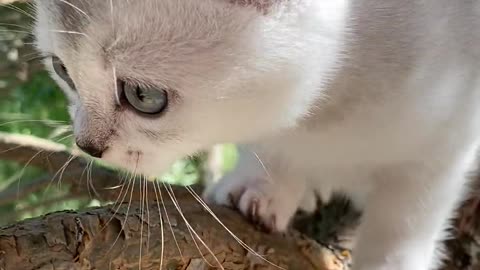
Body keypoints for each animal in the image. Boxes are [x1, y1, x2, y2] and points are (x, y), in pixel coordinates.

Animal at [34, 0, 480, 270]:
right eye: (61, 69)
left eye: (143, 96)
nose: (88, 145)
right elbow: (269, 139)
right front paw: (267, 184)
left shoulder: (449, 135)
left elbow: (406, 218)